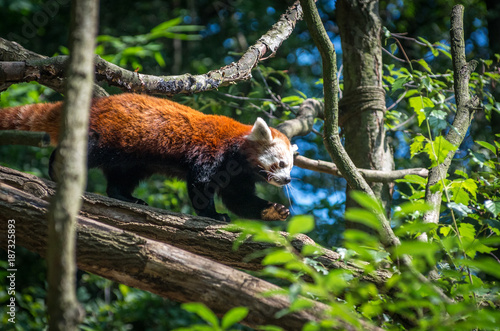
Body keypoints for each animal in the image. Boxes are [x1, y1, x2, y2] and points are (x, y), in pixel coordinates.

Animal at [0, 93, 294, 222]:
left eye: (290, 167)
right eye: (280, 163)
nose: (288, 180)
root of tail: (96, 103)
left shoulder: (239, 177)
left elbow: (240, 200)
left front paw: (272, 210)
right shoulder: (212, 152)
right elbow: (200, 184)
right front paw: (212, 214)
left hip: (132, 158)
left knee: (121, 178)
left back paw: (126, 197)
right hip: (109, 136)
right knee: (85, 151)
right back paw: (57, 168)